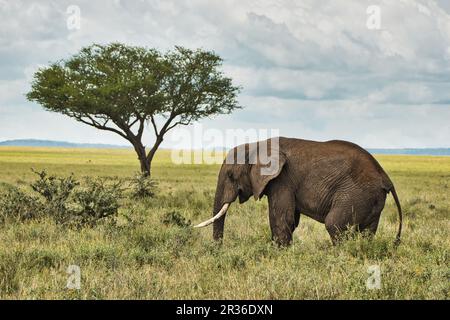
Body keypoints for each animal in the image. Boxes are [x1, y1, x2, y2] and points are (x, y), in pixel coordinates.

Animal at [195, 136, 402, 246]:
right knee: (367, 232)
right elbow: (290, 220)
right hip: (371, 200)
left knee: (334, 224)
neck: (257, 145)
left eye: (231, 175)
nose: (219, 249)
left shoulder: (282, 179)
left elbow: (281, 218)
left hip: (356, 194)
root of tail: (385, 177)